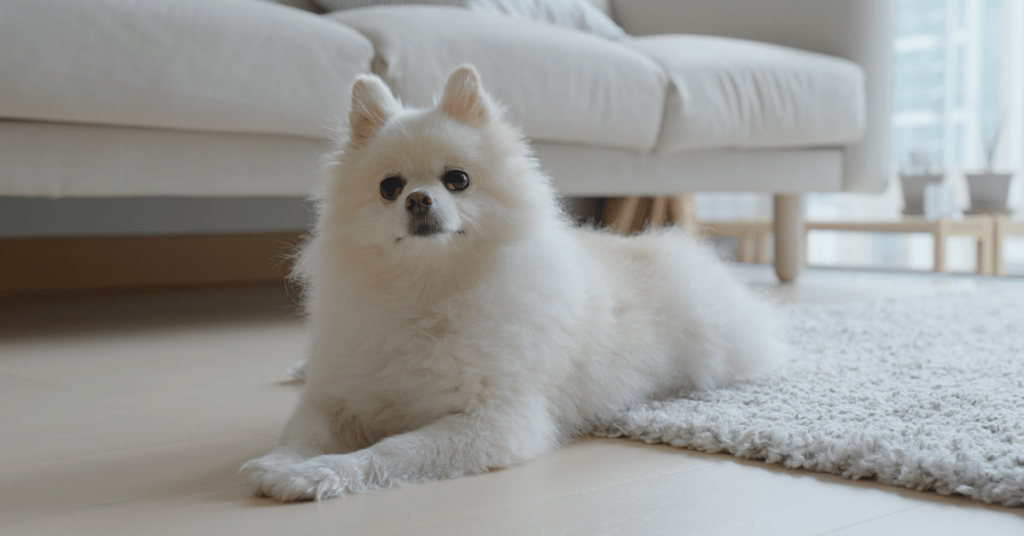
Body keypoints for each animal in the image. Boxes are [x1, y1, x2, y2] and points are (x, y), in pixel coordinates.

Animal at [241, 65, 782, 502]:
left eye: (457, 180)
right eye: (389, 188)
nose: (417, 200)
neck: (427, 292)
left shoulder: (495, 422)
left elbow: (391, 451)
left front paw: (322, 474)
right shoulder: (336, 398)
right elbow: (304, 434)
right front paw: (282, 463)